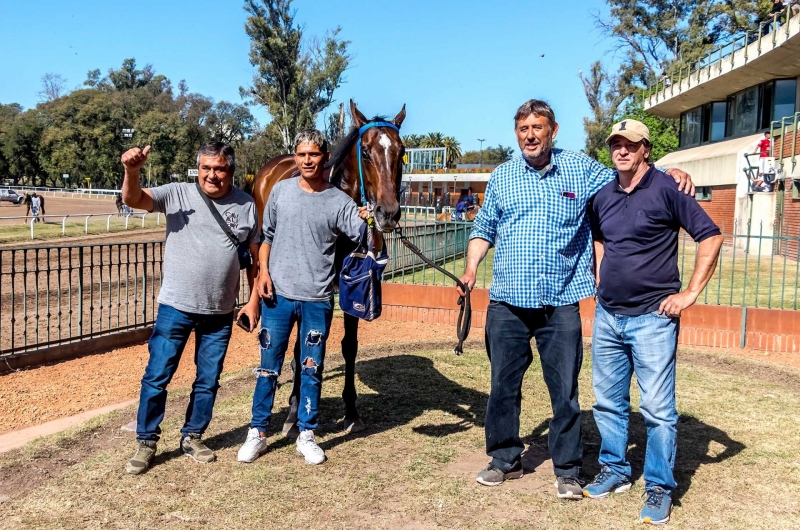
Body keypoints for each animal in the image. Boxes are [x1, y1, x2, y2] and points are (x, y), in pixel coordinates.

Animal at [250, 99, 406, 434]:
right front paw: (294, 410)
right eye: (366, 152)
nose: (388, 213)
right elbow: (300, 347)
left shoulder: (351, 285)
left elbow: (349, 346)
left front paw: (351, 410)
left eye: (402, 152)